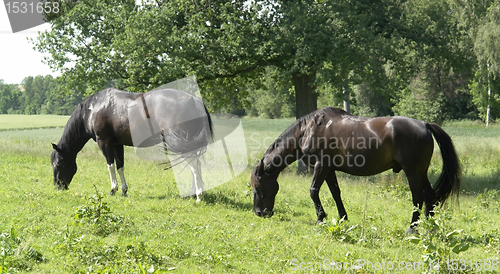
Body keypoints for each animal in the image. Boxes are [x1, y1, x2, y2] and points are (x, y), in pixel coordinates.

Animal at [50, 88, 213, 201]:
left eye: (58, 164)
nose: (57, 186)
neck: (93, 108)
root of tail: (194, 99)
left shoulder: (104, 142)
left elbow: (110, 166)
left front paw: (113, 189)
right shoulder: (117, 144)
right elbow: (120, 166)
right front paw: (123, 190)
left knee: (194, 165)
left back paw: (199, 196)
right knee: (195, 165)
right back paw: (194, 193)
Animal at [250, 106, 460, 232]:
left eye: (257, 187)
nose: (260, 213)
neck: (308, 130)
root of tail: (424, 124)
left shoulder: (321, 166)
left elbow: (313, 191)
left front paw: (320, 218)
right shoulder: (329, 169)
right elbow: (335, 193)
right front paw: (342, 218)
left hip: (413, 172)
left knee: (418, 197)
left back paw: (412, 227)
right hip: (421, 172)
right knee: (430, 194)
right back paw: (429, 226)